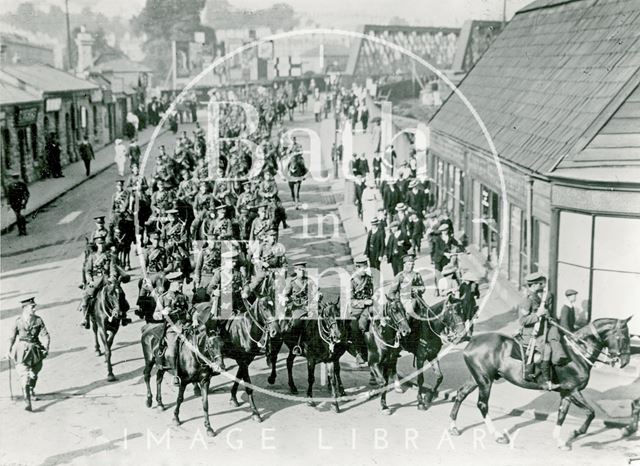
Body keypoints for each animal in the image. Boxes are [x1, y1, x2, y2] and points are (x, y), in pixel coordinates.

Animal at [448, 314, 632, 450]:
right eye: (623, 337)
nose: (625, 362)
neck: (576, 353)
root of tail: (472, 340)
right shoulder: (573, 390)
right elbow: (591, 413)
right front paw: (575, 433)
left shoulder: (566, 393)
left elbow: (562, 415)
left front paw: (560, 440)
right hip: (485, 381)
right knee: (482, 404)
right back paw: (497, 435)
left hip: (477, 378)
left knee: (461, 394)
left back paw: (453, 426)